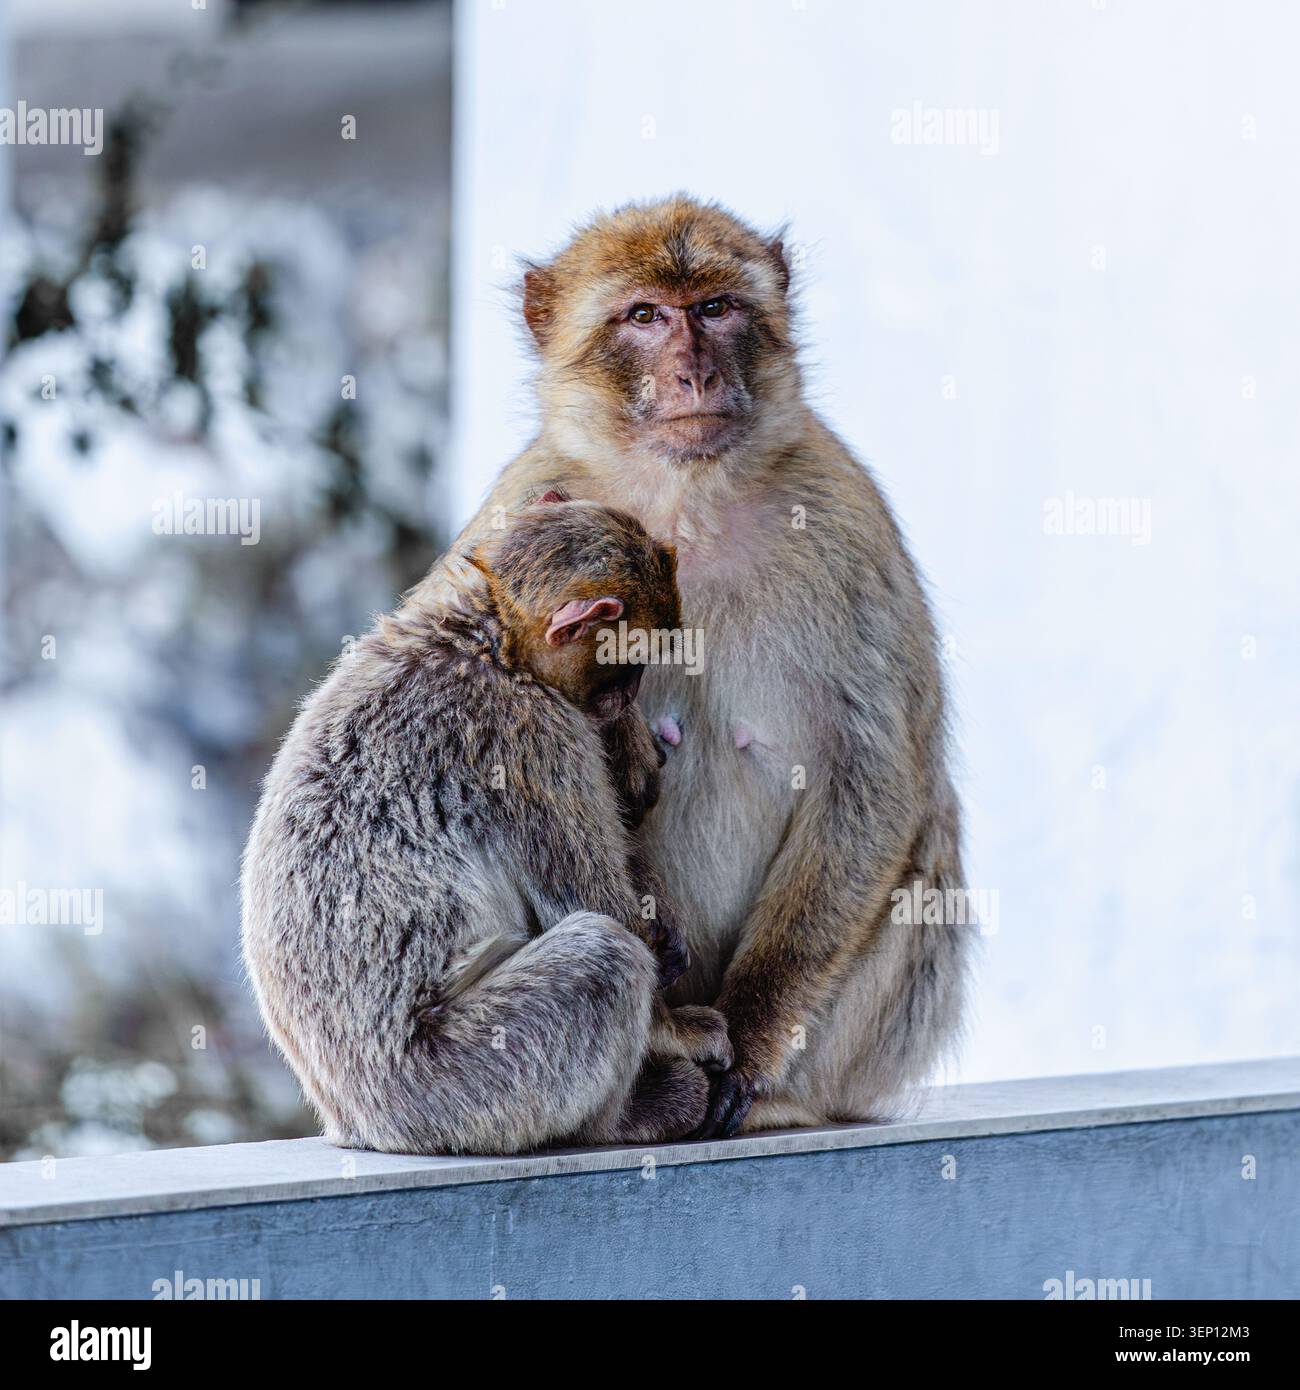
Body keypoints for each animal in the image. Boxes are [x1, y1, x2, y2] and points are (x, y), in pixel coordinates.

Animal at [241, 493, 732, 1155]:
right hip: (457, 1084)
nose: (630, 696)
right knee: (605, 956)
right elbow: (593, 904)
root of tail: (357, 1123)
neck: (493, 637)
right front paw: (677, 1030)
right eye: (629, 663)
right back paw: (626, 1117)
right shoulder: (534, 736)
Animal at [440, 195, 970, 1138]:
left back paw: (778, 1100)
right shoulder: (516, 509)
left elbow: (871, 778)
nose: (695, 374)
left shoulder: (847, 519)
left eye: (717, 308)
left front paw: (752, 1039)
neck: (689, 500)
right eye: (646, 316)